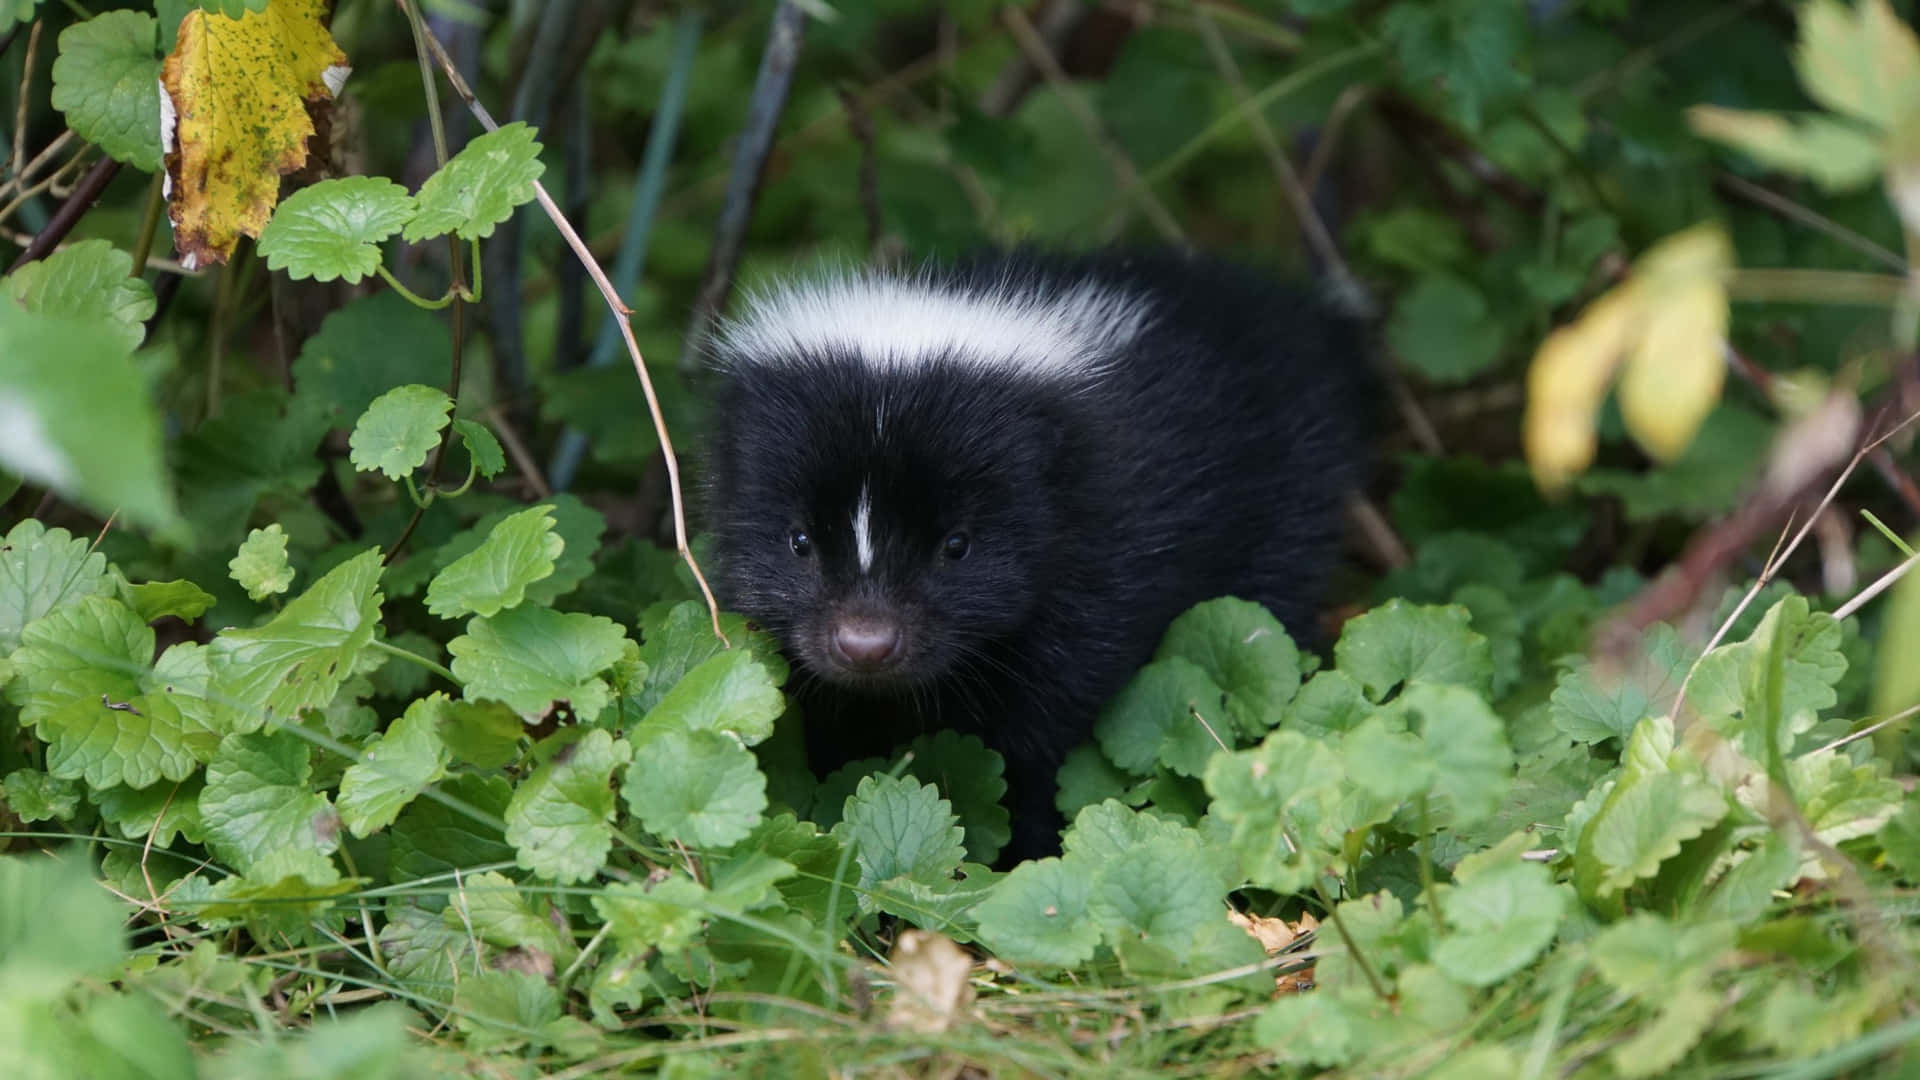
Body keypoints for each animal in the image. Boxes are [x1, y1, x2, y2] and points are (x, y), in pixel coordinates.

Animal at [698, 245, 1374, 857]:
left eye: (957, 545)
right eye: (800, 540)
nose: (866, 644)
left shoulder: (1098, 560)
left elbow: (1042, 736)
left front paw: (1027, 853)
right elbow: (830, 718)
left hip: (1285, 494)